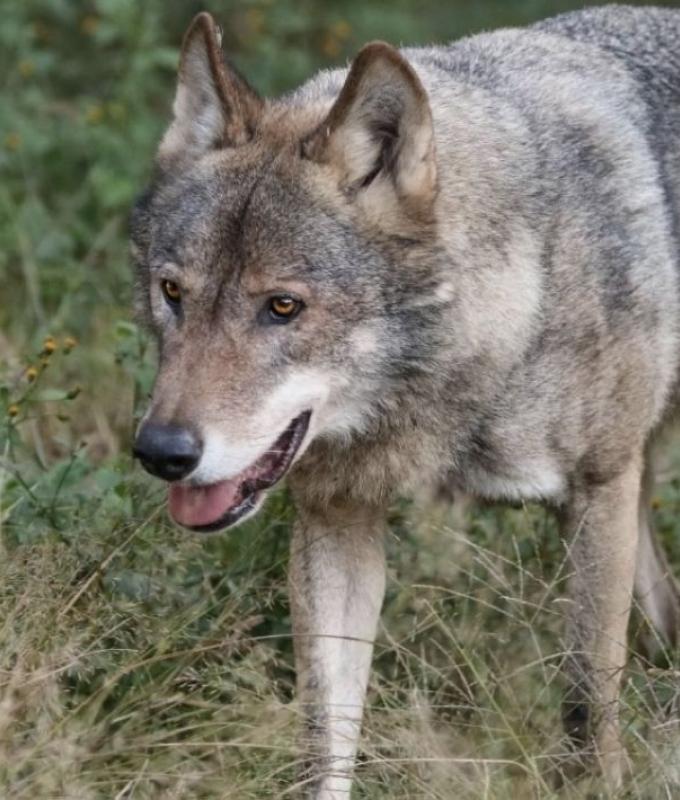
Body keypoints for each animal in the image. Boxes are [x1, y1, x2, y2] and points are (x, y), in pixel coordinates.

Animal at [130, 5, 680, 796]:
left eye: (283, 307)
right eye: (173, 292)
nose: (161, 453)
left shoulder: (599, 488)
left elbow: (585, 702)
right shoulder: (337, 516)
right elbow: (325, 735)